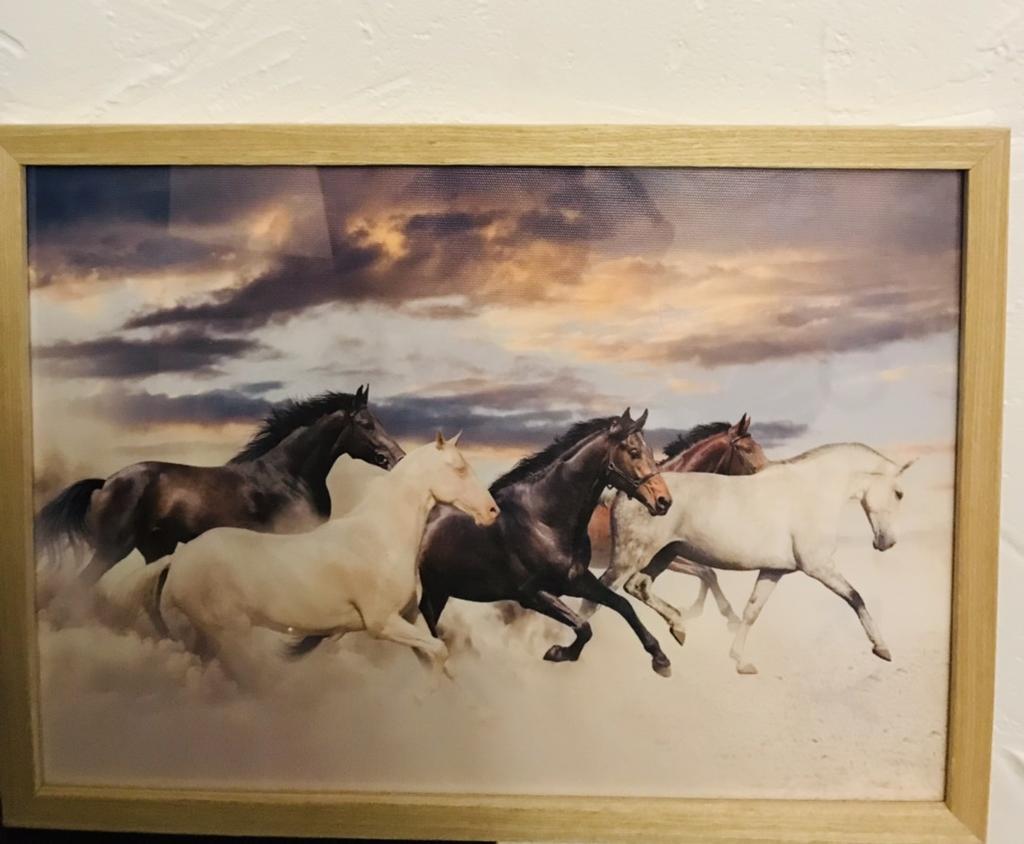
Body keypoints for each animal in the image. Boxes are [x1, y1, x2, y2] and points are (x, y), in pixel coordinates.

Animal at [35, 385, 405, 585]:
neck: (289, 476)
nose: (398, 457)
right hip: (111, 550)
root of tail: (105, 484)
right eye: (367, 424)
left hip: (156, 550)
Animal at [150, 432, 498, 685]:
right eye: (458, 468)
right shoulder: (382, 623)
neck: (381, 536)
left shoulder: (408, 619)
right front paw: (423, 697)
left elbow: (434, 654)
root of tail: (179, 558)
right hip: (230, 634)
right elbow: (439, 651)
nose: (492, 511)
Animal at [415, 409, 678, 677]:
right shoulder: (531, 594)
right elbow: (583, 627)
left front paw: (661, 659)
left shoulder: (576, 581)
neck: (544, 520)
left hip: (439, 590)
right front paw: (558, 653)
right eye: (634, 452)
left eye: (650, 451)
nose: (664, 501)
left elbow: (622, 605)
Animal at [563, 442, 913, 674]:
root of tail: (624, 492)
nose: (887, 543)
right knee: (596, 598)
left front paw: (741, 661)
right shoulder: (819, 566)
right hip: (630, 557)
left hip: (662, 556)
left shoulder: (774, 570)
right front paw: (882, 648)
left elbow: (751, 611)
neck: (811, 491)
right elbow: (855, 597)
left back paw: (678, 629)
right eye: (899, 493)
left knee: (638, 588)